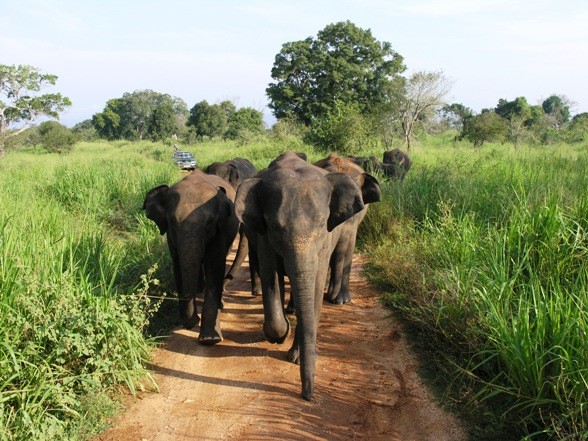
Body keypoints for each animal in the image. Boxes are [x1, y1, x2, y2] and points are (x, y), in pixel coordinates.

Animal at [144, 168, 238, 344]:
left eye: (209, 222)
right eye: (172, 222)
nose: (194, 321)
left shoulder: (219, 231)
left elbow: (214, 264)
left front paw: (210, 339)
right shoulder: (171, 236)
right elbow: (178, 264)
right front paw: (188, 322)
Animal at [234, 150, 372, 398]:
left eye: (322, 223)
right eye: (275, 227)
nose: (308, 395)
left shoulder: (325, 240)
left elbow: (315, 284)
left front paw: (296, 357)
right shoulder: (264, 237)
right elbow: (270, 276)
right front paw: (281, 333)